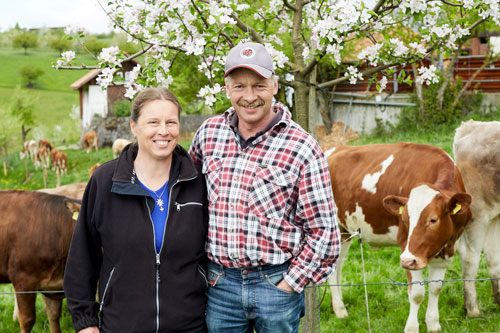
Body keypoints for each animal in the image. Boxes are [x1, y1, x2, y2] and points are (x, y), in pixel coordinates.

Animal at [326, 143, 470, 332]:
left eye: (433, 219)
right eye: (405, 219)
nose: (408, 260)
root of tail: (332, 149)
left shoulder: (446, 249)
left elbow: (435, 287)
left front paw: (433, 324)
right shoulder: (406, 247)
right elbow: (417, 293)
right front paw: (411, 328)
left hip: (344, 231)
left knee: (338, 265)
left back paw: (337, 305)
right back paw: (340, 309)